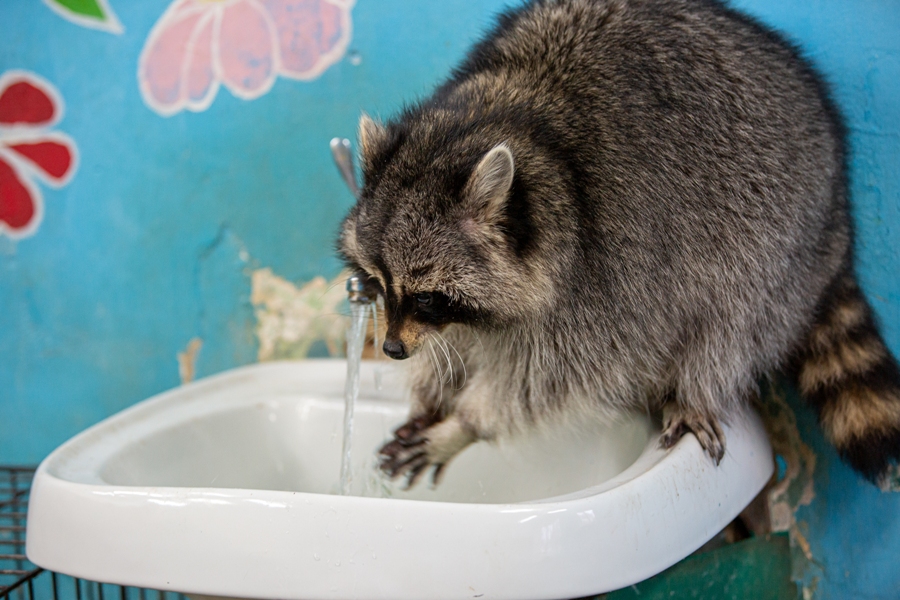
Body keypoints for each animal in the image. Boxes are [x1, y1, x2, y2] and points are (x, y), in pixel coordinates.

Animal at [336, 0, 900, 488]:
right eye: (376, 282)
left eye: (429, 297)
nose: (391, 349)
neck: (500, 120)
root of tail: (838, 207)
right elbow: (462, 343)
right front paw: (433, 393)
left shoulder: (607, 274)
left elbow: (555, 377)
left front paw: (468, 421)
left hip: (779, 236)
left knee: (732, 321)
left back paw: (696, 389)